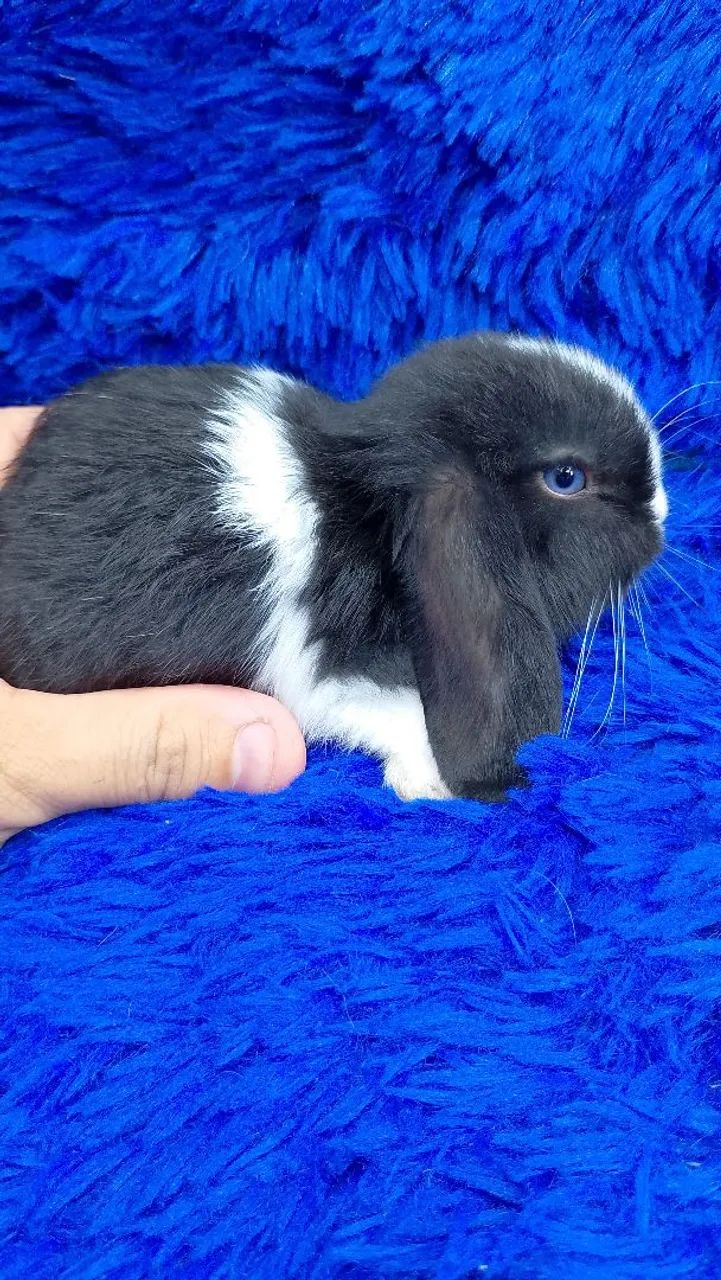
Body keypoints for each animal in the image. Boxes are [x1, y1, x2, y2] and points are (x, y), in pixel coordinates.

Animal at [0, 332, 667, 802]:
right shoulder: (327, 670)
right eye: (566, 477)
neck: (367, 510)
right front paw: (431, 783)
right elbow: (392, 712)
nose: (662, 516)